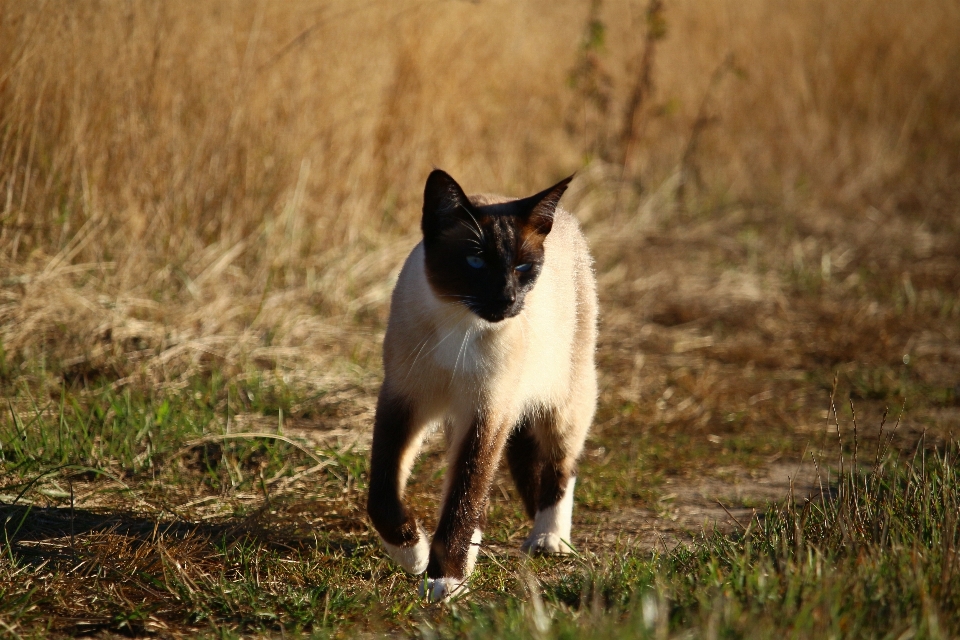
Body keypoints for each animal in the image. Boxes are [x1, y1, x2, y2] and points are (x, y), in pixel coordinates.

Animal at [366, 169, 596, 600]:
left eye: (523, 268)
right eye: (474, 261)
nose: (506, 299)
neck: (460, 323)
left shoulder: (487, 412)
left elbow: (465, 496)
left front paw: (445, 579)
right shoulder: (403, 400)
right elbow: (383, 494)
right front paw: (415, 556)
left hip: (563, 401)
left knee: (560, 467)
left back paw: (549, 540)